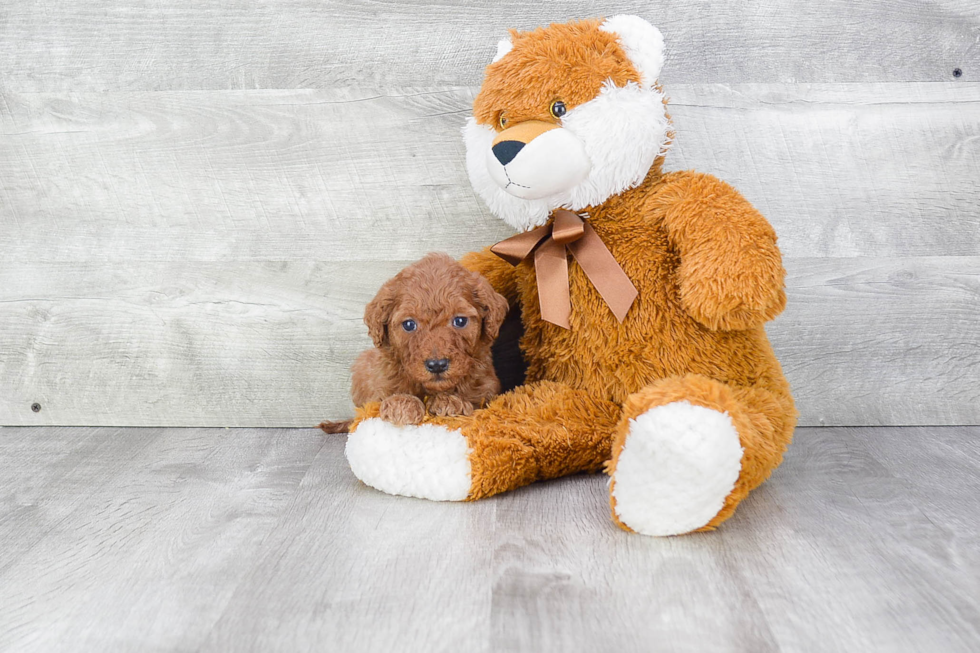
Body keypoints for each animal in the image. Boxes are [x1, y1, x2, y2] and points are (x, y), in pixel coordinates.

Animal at [320, 252, 506, 430]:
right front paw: (402, 405)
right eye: (409, 324)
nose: (437, 365)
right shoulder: (377, 389)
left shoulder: (487, 390)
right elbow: (381, 400)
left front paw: (450, 402)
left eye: (460, 321)